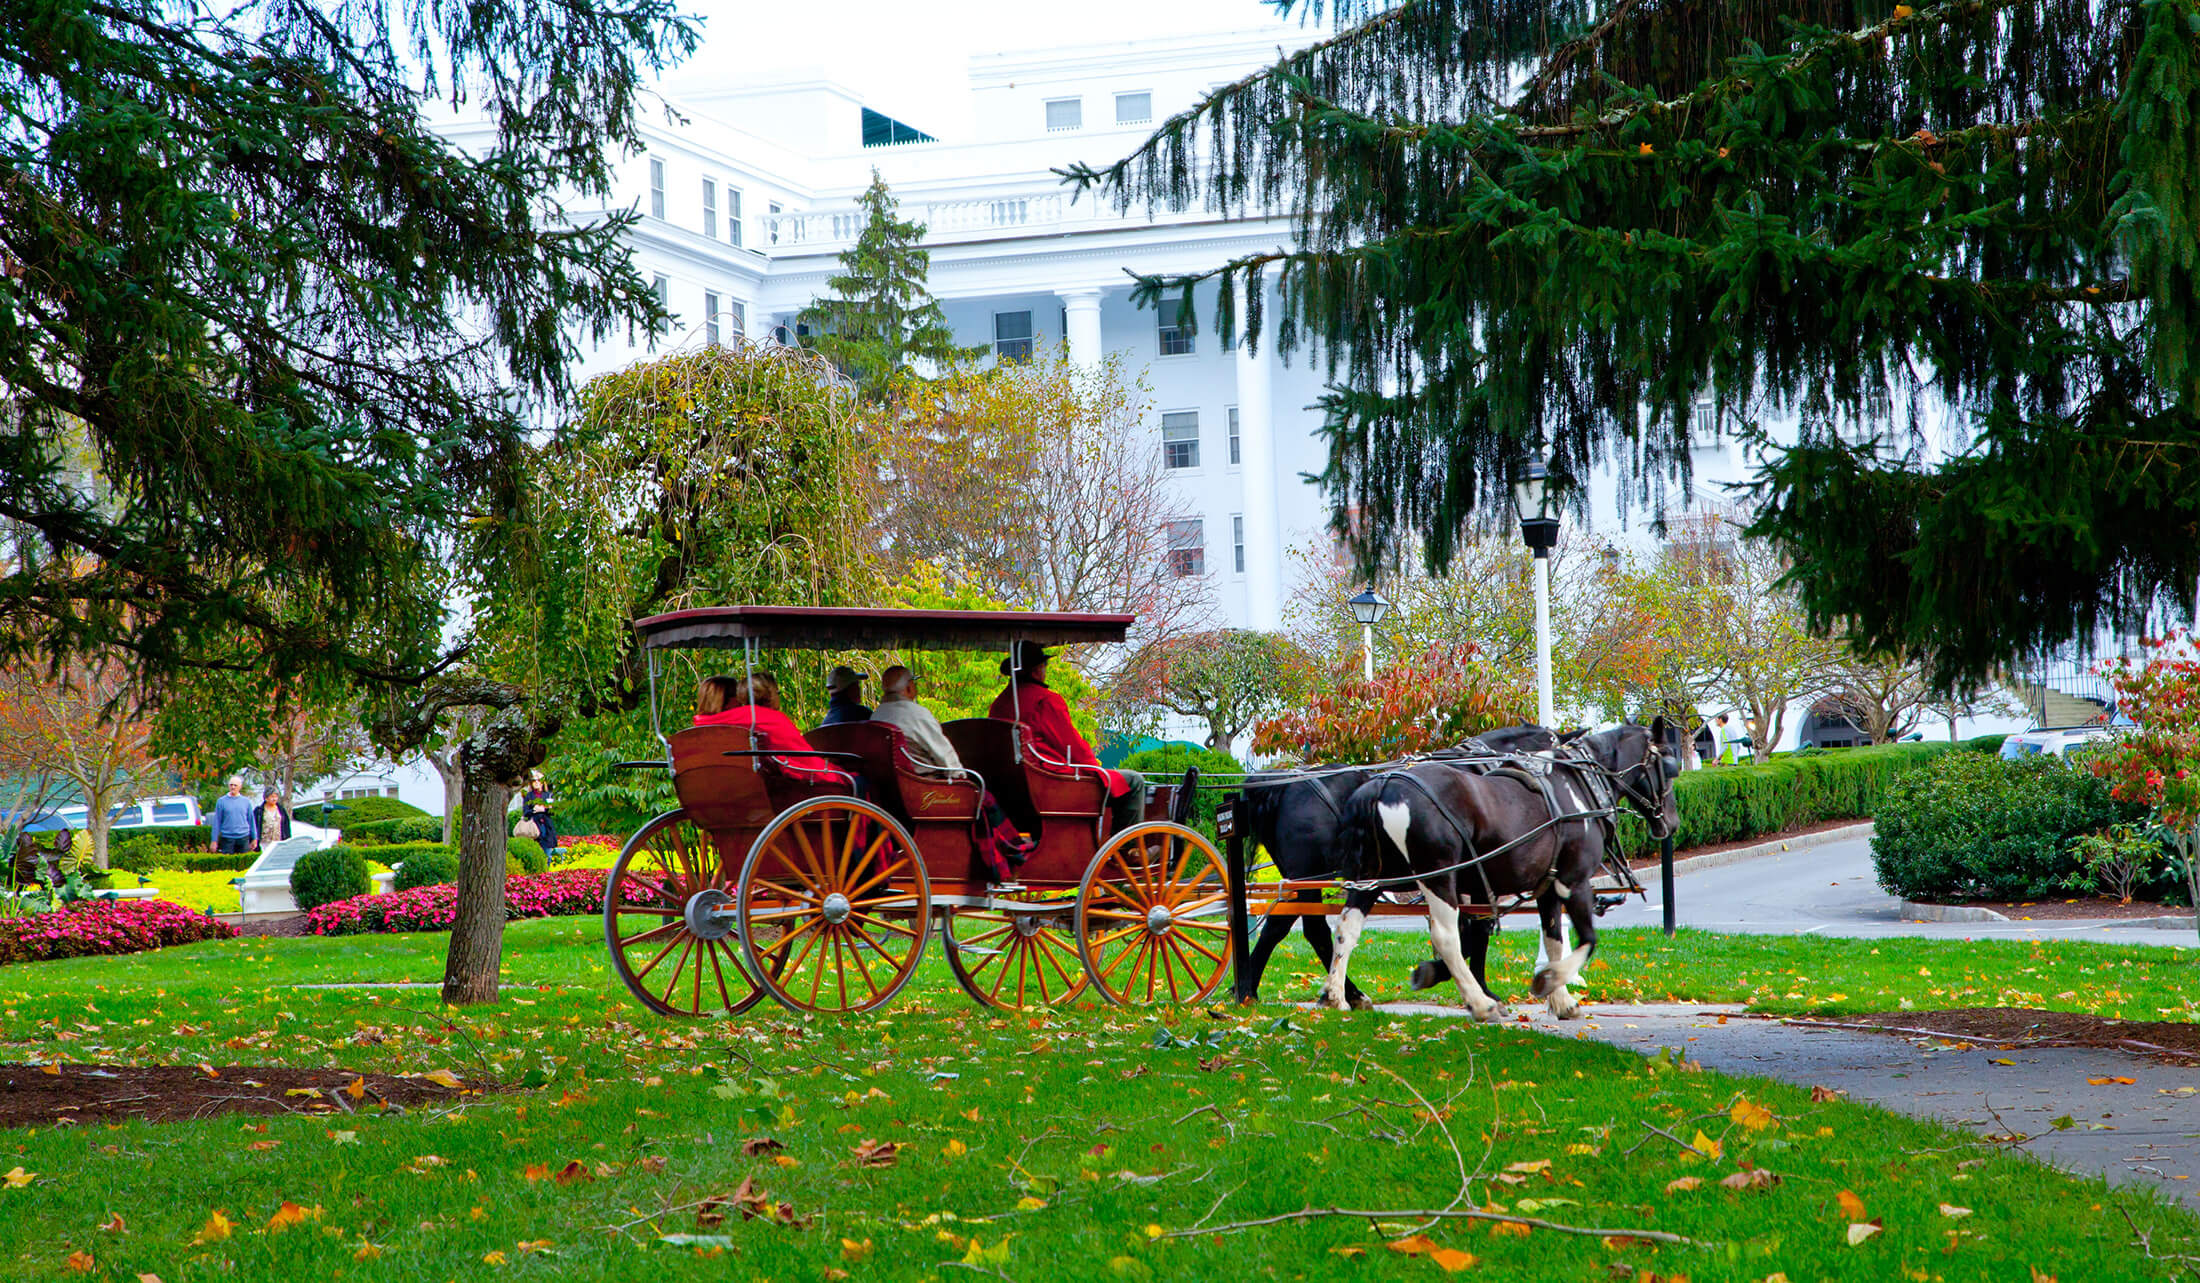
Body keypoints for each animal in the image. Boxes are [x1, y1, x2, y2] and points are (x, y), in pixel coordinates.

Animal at [1320, 726, 1680, 1021]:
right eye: (1669, 768)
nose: (1672, 823)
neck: (1577, 787)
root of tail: (1383, 786)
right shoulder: (1572, 880)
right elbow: (1586, 939)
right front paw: (1548, 980)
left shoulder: (1546, 886)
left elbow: (1552, 939)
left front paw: (1562, 1001)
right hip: (1438, 876)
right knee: (1445, 937)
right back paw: (1481, 1005)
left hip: (1370, 877)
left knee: (1346, 928)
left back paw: (1336, 995)